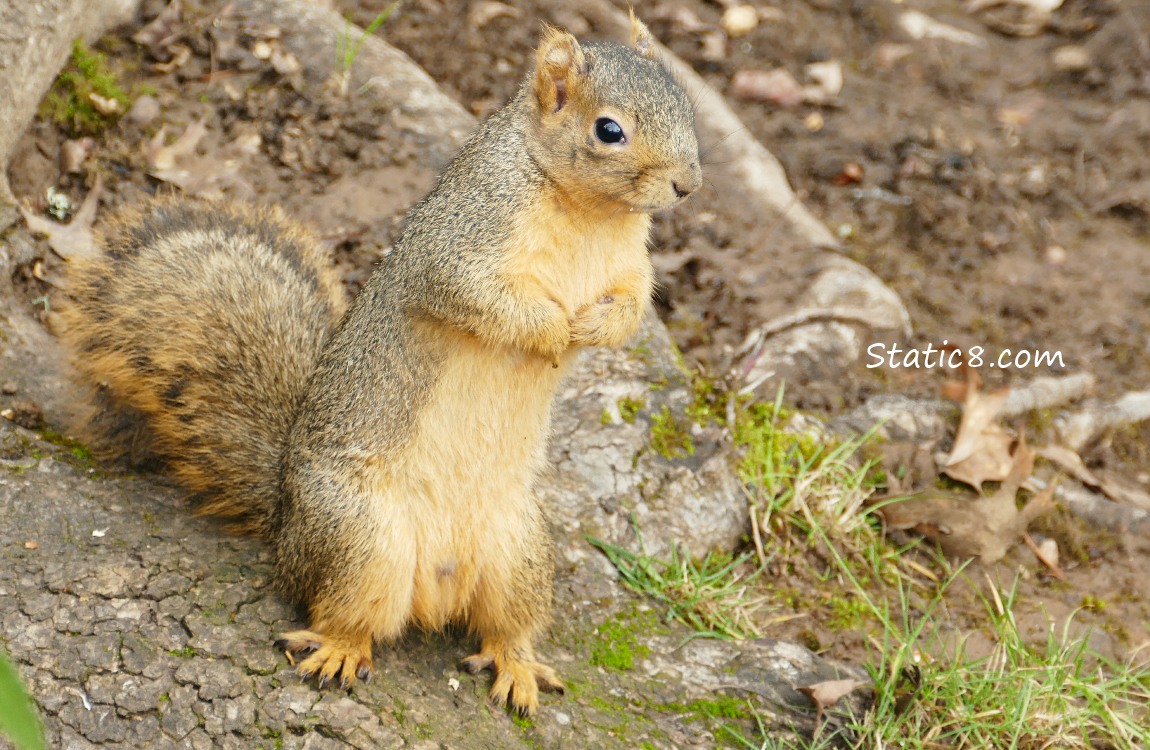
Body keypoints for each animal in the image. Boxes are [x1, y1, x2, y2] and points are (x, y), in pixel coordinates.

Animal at [60, 13, 699, 713]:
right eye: (608, 130)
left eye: (685, 104)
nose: (688, 184)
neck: (590, 213)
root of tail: (286, 525)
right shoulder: (460, 242)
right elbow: (478, 296)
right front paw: (554, 330)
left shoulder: (630, 266)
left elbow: (632, 306)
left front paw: (595, 326)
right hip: (359, 536)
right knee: (344, 612)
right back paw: (340, 651)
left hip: (520, 551)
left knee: (506, 625)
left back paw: (518, 666)